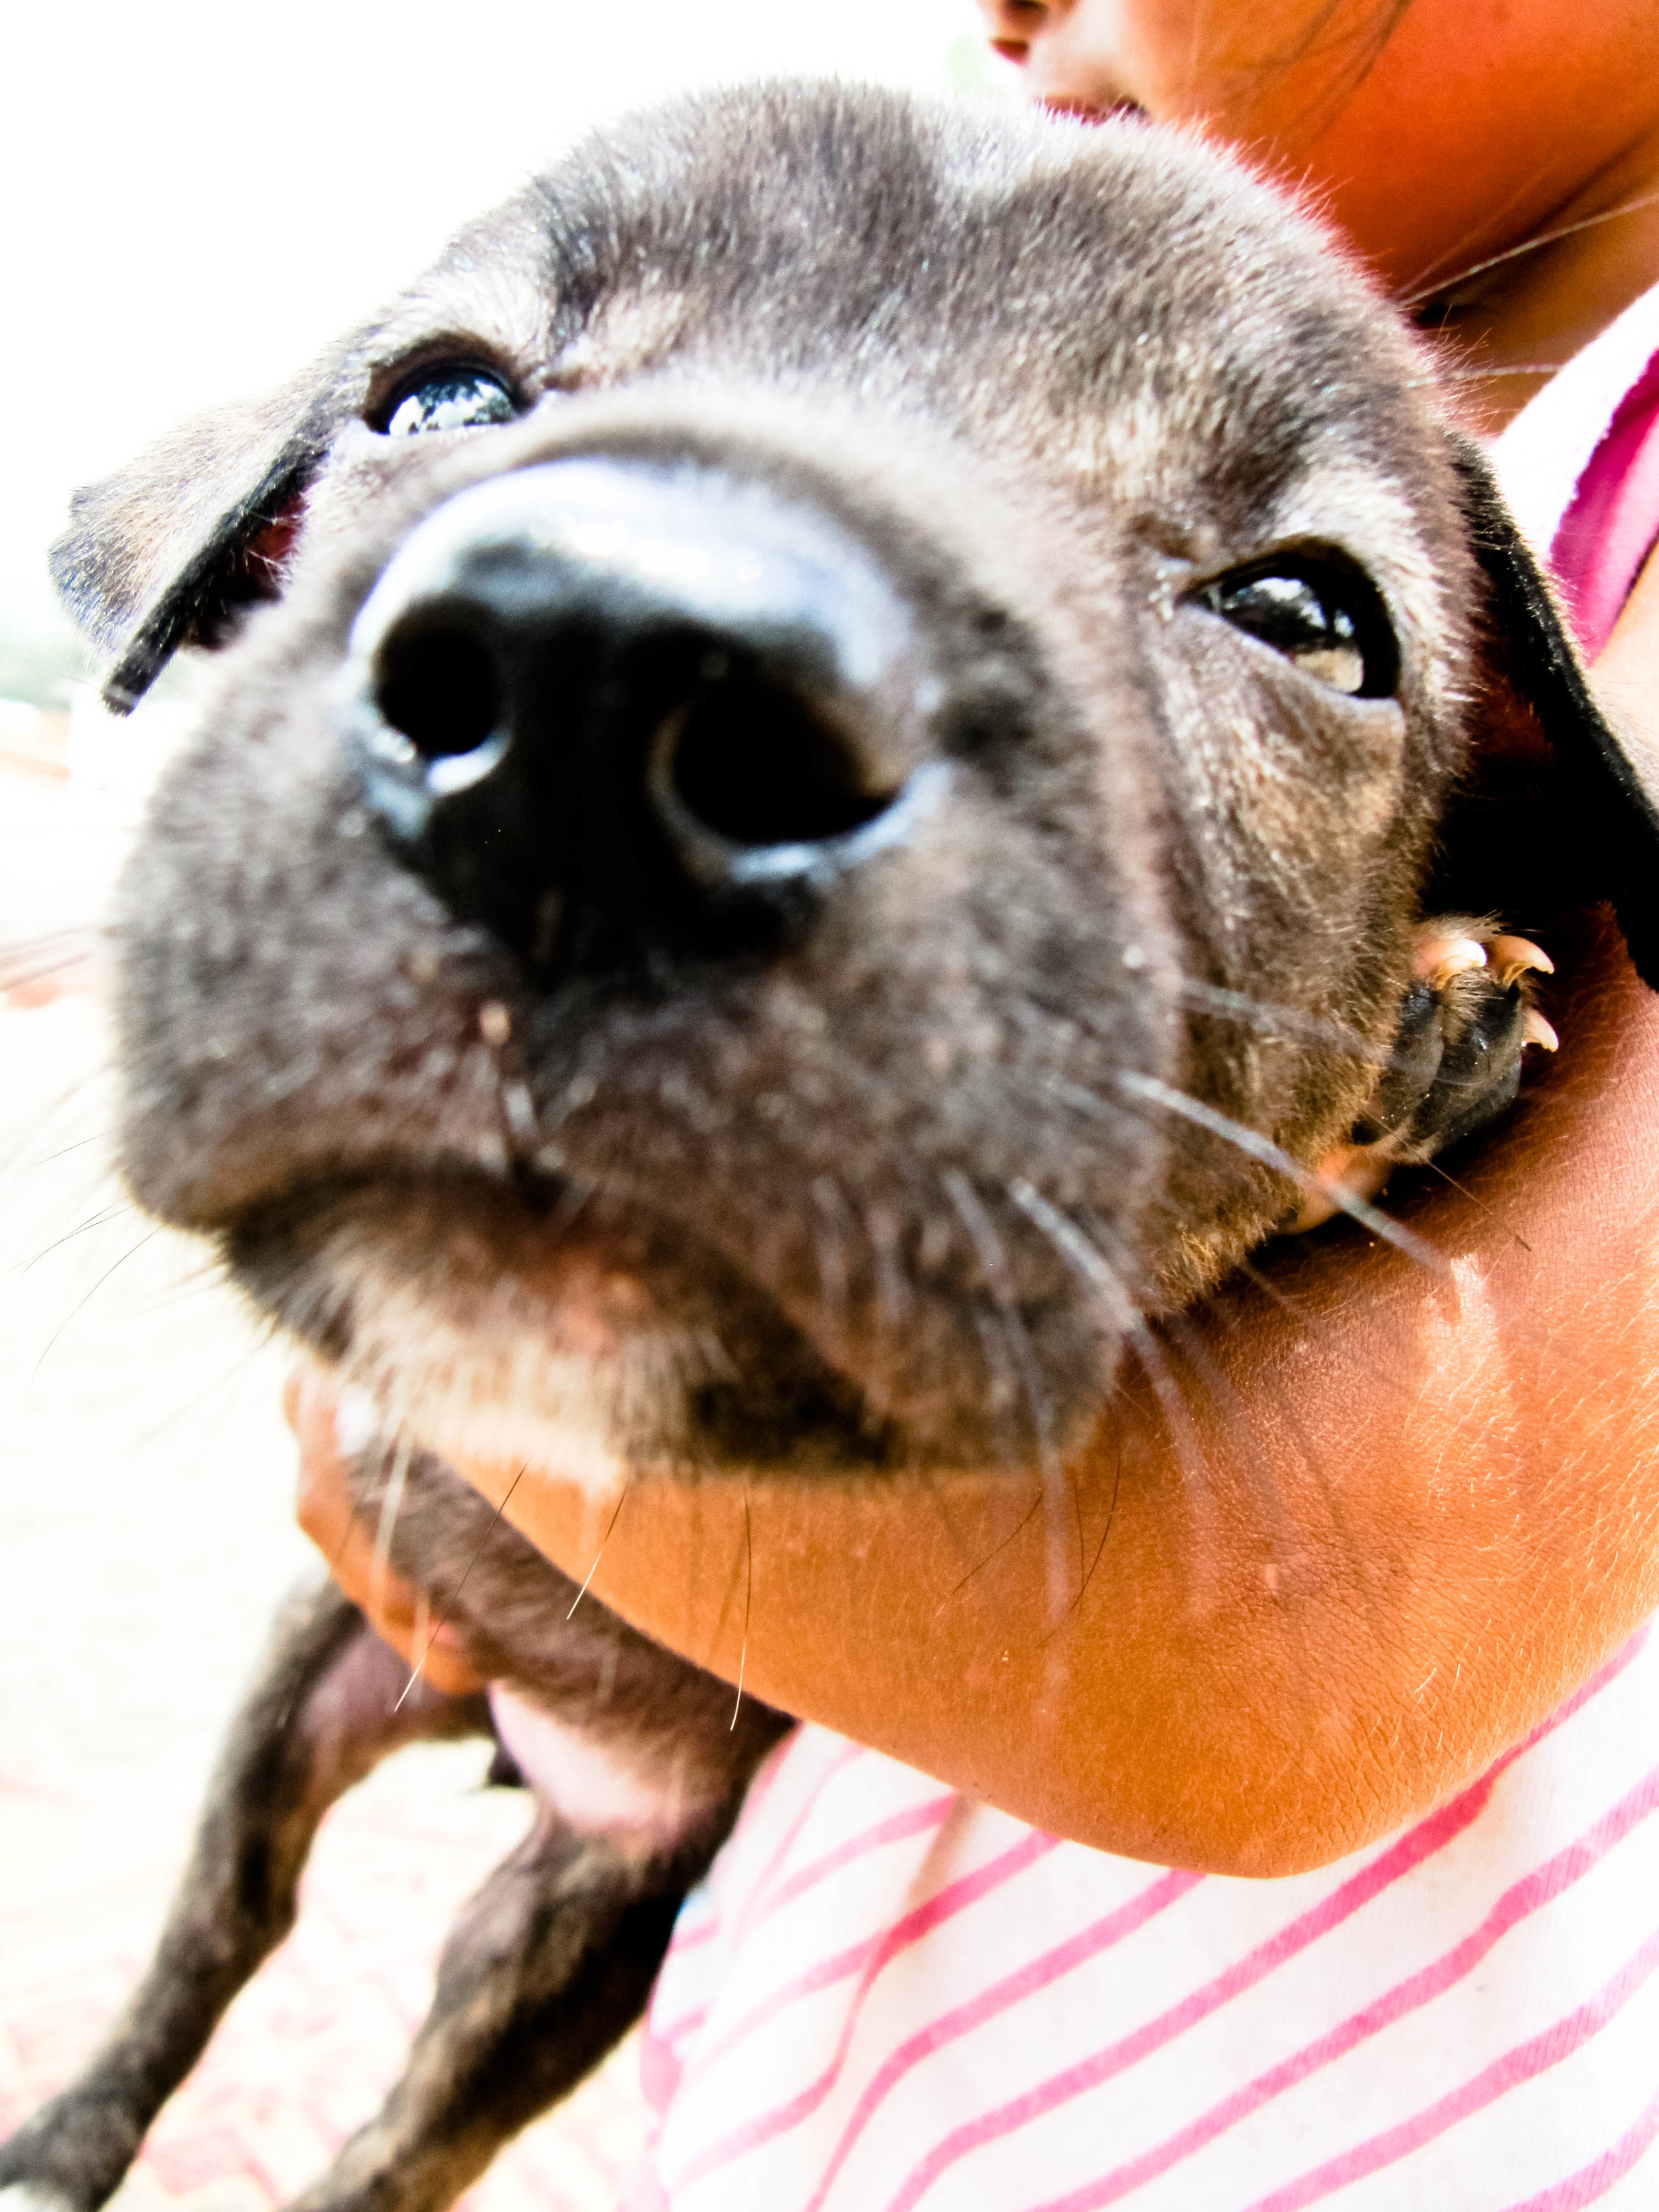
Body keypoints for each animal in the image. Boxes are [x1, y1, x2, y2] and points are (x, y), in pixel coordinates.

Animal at [6, 78, 1654, 2212]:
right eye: (440, 398)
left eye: (1308, 615)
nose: (600, 682)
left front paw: (1420, 1024)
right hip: (320, 1680)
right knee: (223, 1921)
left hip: (572, 1916)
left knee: (392, 2136)